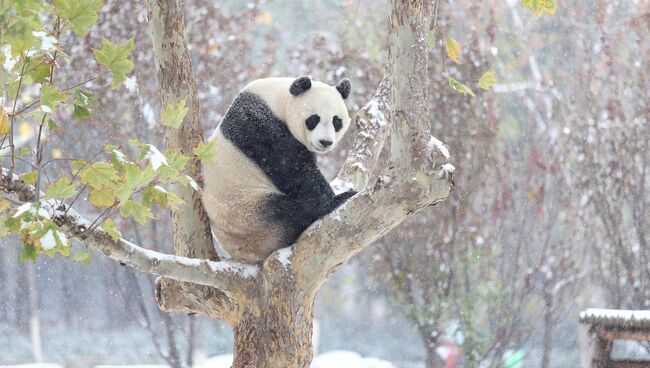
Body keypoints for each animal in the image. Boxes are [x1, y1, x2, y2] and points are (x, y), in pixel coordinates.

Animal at [202, 76, 354, 264]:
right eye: (314, 119)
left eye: (336, 121)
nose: (325, 142)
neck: (277, 99)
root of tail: (245, 255)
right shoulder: (260, 126)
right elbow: (294, 170)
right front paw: (333, 199)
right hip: (248, 214)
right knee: (288, 212)